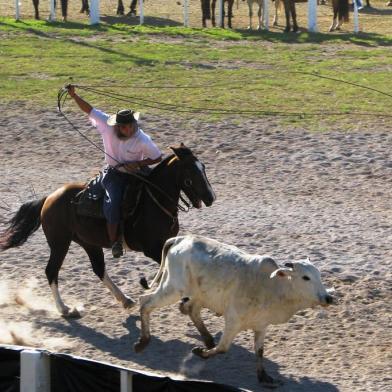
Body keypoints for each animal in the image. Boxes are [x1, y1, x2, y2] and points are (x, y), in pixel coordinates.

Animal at [0, 145, 216, 316]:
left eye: (203, 168)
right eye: (191, 172)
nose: (211, 197)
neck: (154, 201)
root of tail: (49, 198)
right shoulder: (151, 249)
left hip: (89, 243)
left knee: (98, 269)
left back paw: (125, 299)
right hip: (60, 243)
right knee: (51, 271)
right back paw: (65, 309)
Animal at [135, 236, 334, 386]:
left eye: (318, 275)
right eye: (305, 277)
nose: (328, 298)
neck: (272, 286)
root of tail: (181, 238)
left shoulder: (261, 326)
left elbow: (259, 351)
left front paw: (264, 377)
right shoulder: (233, 321)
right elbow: (223, 348)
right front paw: (200, 352)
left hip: (195, 294)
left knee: (190, 310)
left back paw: (207, 339)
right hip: (173, 288)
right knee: (145, 302)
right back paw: (143, 342)